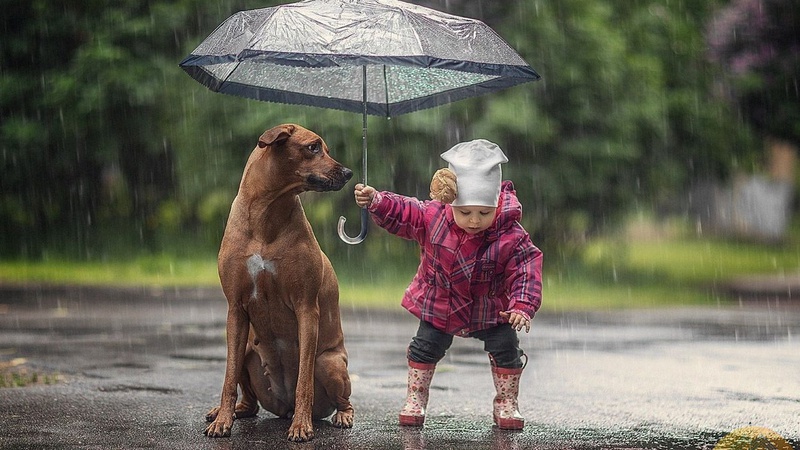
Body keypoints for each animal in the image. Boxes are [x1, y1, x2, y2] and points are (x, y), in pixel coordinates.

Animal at [205, 124, 354, 442]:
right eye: (313, 147)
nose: (348, 173)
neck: (267, 213)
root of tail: (283, 408)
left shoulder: (306, 308)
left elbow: (303, 382)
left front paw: (301, 426)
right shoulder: (235, 308)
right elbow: (228, 378)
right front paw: (222, 421)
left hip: (330, 363)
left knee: (342, 398)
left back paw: (340, 415)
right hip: (248, 350)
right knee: (248, 401)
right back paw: (228, 411)